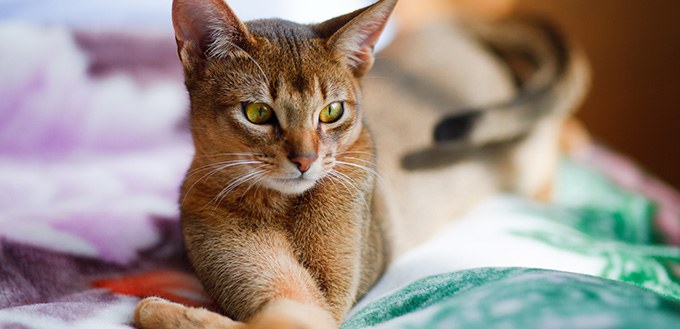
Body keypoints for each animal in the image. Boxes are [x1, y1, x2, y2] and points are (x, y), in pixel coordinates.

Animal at [134, 0, 588, 328]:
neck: (281, 209)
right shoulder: (266, 278)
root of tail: (455, 27)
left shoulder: (326, 301)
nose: (305, 160)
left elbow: (275, 321)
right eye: (258, 113)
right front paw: (158, 309)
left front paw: (152, 309)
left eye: (331, 111)